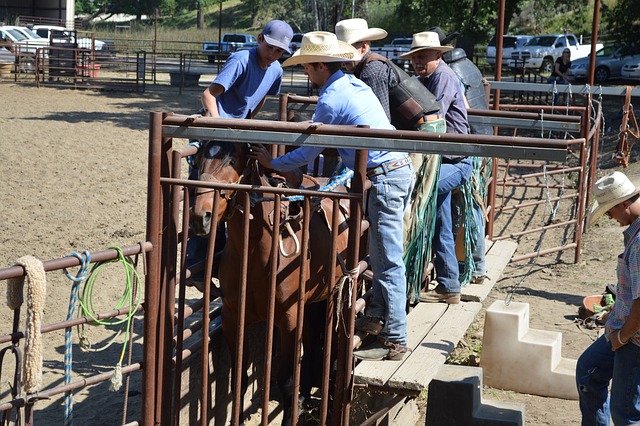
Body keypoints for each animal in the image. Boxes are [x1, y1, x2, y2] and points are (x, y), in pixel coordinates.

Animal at [190, 140, 350, 422]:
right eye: (198, 162)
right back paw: (304, 397)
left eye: (232, 161)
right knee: (311, 346)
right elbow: (239, 378)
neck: (257, 250)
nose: (201, 216)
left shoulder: (288, 319)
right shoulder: (233, 316)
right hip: (311, 305)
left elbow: (285, 380)